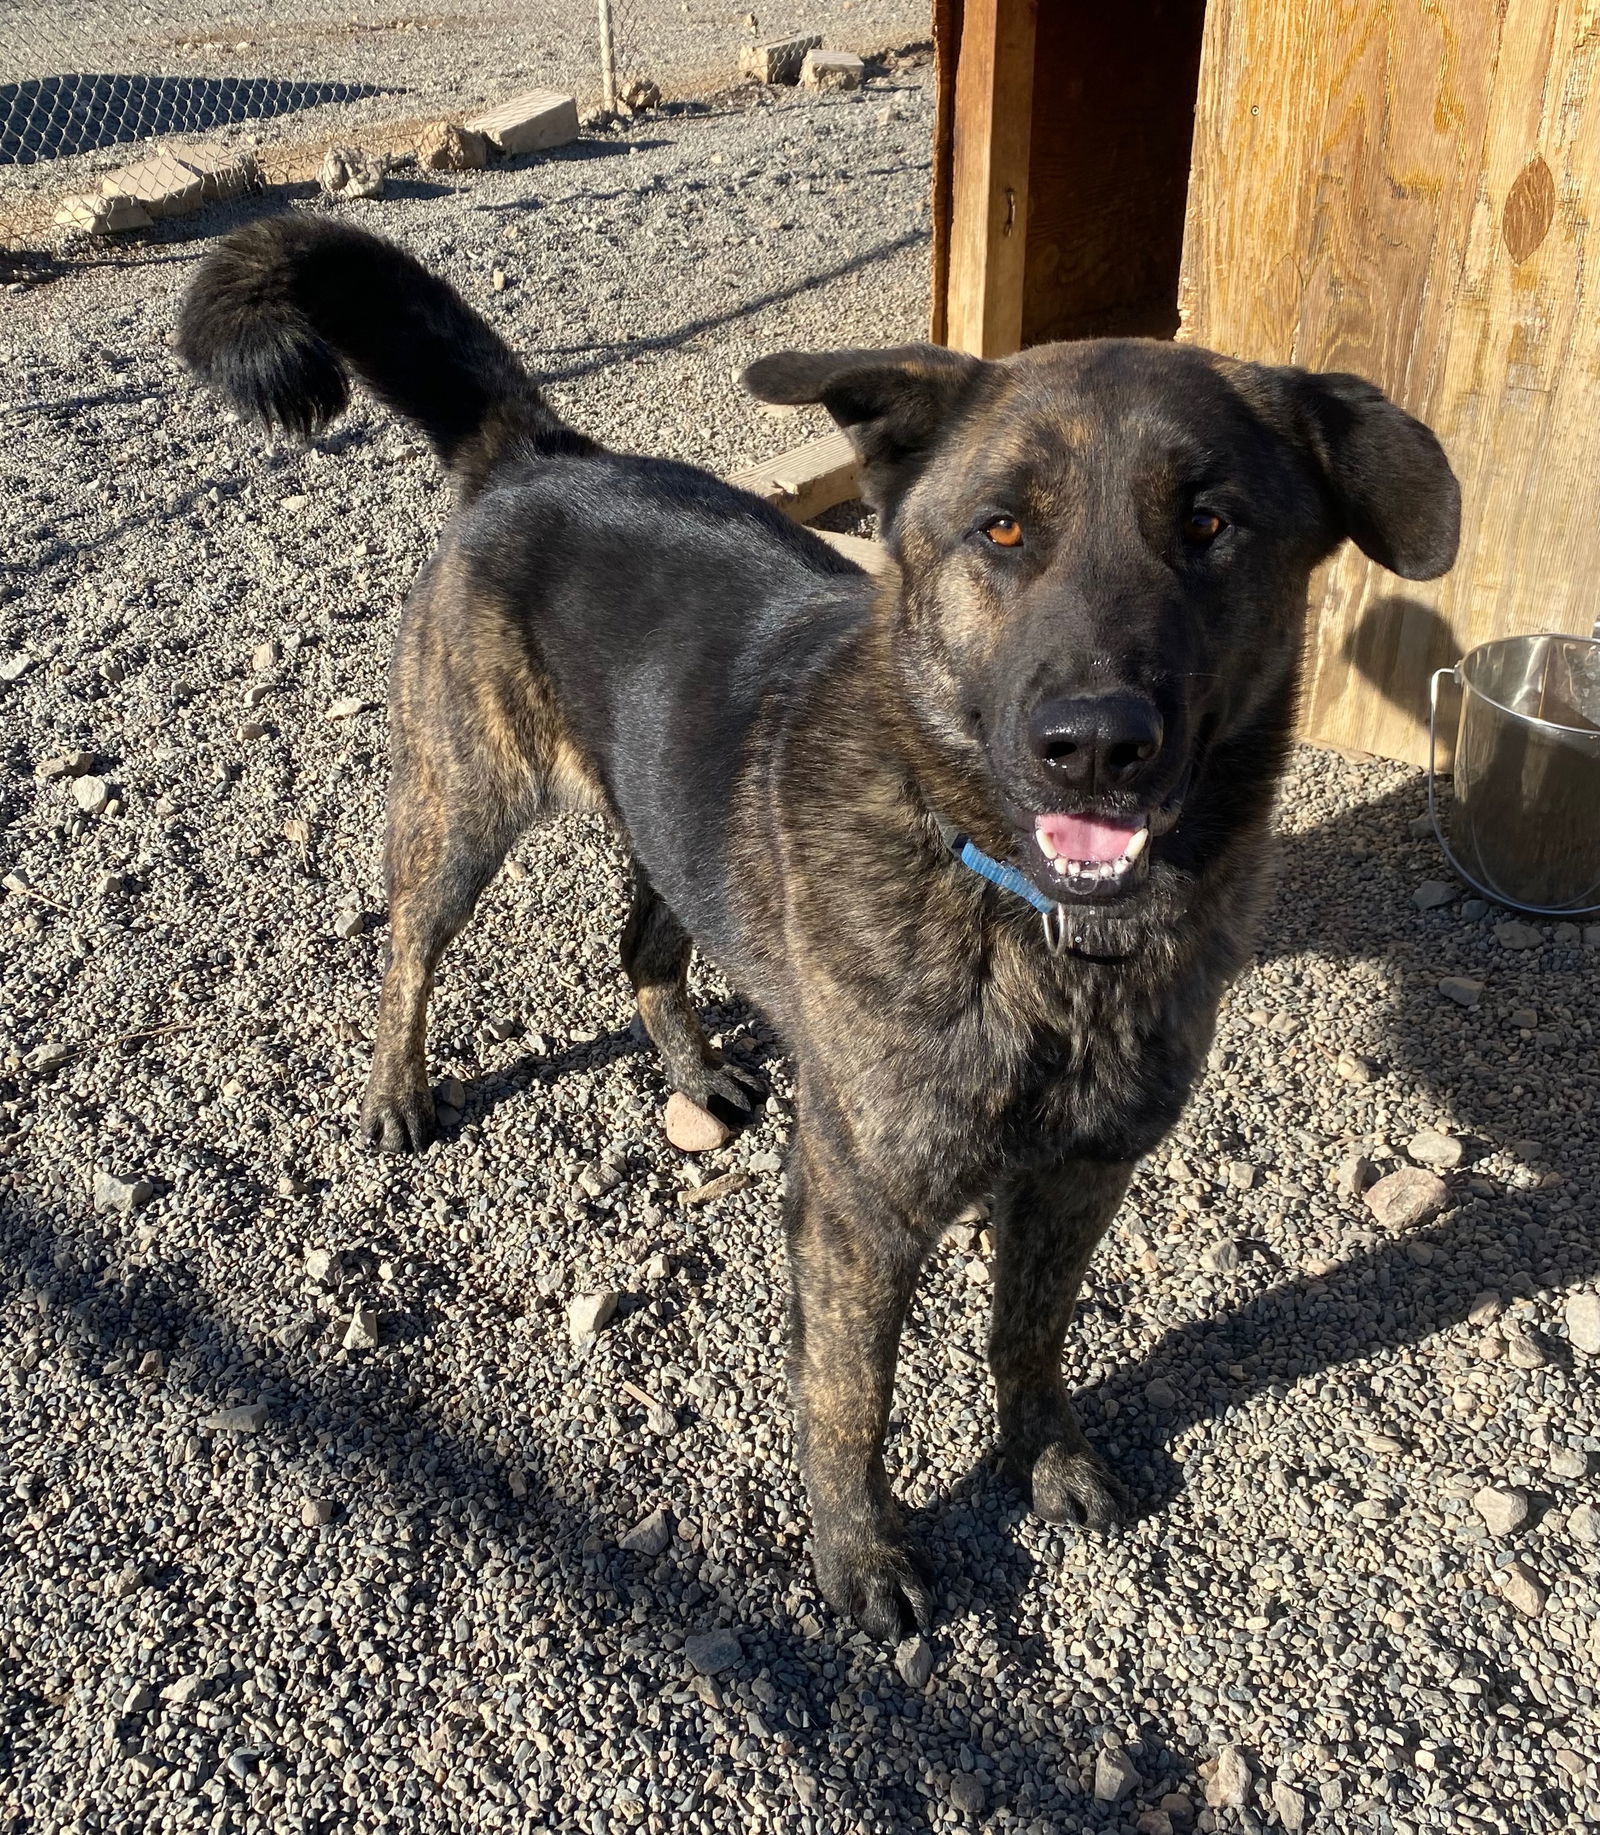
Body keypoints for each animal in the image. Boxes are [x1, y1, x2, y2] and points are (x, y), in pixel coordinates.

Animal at [181, 222, 1453, 1644]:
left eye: (1211, 525)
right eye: (1001, 528)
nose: (1092, 746)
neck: (1024, 921)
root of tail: (539, 452)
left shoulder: (1081, 1175)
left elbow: (1032, 1332)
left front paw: (1042, 1452)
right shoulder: (859, 1209)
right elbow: (851, 1400)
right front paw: (858, 1552)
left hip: (668, 823)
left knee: (643, 949)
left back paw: (691, 1068)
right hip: (464, 802)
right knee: (410, 946)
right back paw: (399, 1089)